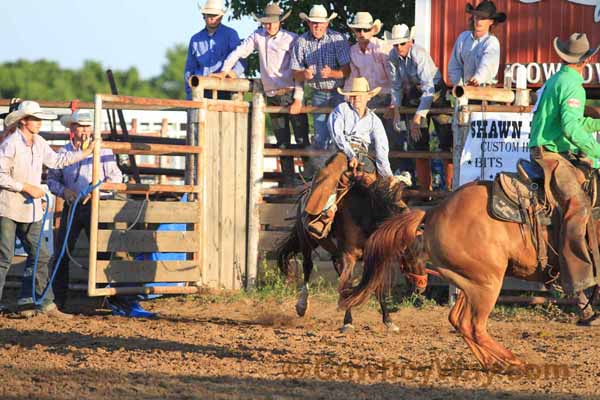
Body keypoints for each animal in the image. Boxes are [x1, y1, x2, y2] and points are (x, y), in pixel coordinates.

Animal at [276, 173, 426, 332]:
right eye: (410, 255)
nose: (421, 288)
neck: (368, 214)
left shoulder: (374, 257)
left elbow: (377, 288)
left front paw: (388, 320)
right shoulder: (348, 256)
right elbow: (347, 283)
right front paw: (347, 322)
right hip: (306, 240)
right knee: (308, 266)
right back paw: (302, 305)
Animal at [342, 173, 600, 370]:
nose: (418, 284)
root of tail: (433, 212)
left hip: (470, 282)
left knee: (459, 320)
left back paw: (492, 361)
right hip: (488, 283)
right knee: (474, 326)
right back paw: (514, 362)